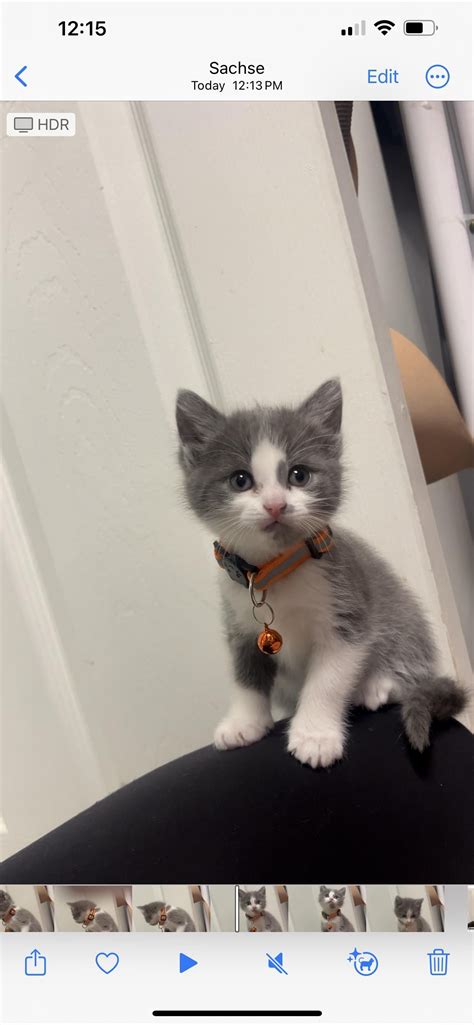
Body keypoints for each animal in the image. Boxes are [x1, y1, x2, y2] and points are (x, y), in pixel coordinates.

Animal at [175, 381, 466, 769]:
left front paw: (315, 735)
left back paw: (377, 684)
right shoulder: (238, 621)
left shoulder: (346, 611)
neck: (275, 574)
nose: (276, 505)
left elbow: (327, 679)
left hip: (402, 617)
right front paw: (243, 723)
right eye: (240, 480)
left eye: (299, 475)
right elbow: (246, 675)